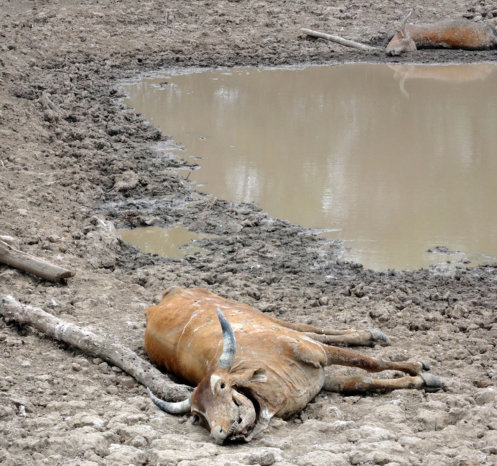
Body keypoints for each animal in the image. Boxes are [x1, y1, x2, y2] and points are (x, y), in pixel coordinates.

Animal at [144, 286, 442, 442]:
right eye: (197, 415)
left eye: (222, 386)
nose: (219, 433)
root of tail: (163, 298)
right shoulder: (324, 380)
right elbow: (362, 382)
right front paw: (419, 379)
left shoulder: (318, 353)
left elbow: (370, 363)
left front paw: (423, 372)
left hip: (264, 317)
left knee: (307, 327)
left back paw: (372, 334)